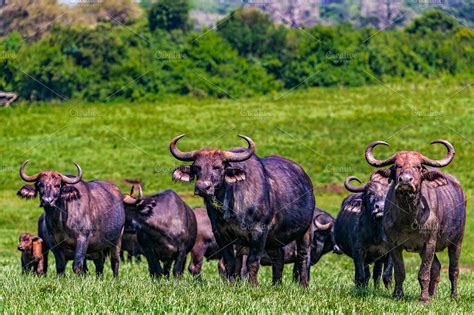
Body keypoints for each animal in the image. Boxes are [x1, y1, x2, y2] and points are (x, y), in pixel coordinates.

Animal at [170, 135, 314, 288]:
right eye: (197, 167)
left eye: (218, 167)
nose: (202, 187)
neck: (230, 204)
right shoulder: (221, 233)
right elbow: (230, 261)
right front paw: (231, 284)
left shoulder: (259, 231)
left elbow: (252, 261)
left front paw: (253, 285)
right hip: (273, 238)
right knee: (278, 257)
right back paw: (277, 284)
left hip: (306, 230)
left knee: (303, 256)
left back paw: (303, 285)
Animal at [364, 141, 464, 304]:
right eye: (397, 165)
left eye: (418, 166)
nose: (405, 180)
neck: (409, 218)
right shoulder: (394, 245)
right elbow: (400, 272)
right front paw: (398, 295)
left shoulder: (429, 242)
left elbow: (424, 272)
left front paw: (423, 299)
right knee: (436, 267)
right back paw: (432, 294)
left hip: (457, 241)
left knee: (453, 270)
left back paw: (454, 296)